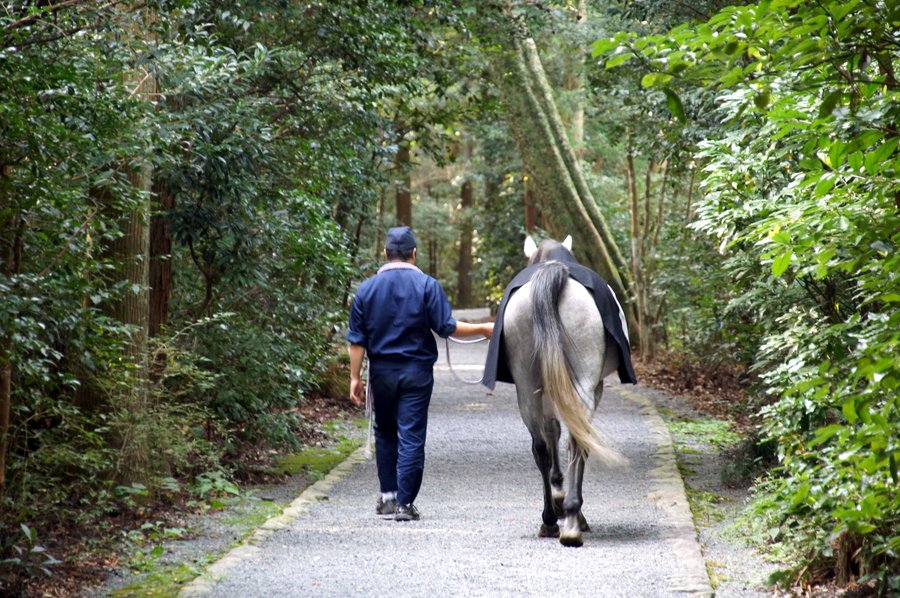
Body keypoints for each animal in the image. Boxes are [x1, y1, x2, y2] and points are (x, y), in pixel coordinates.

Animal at [502, 236, 625, 547]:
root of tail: (553, 272)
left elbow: (551, 432)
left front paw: (557, 494)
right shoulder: (595, 387)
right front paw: (569, 504)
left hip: (526, 385)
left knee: (541, 447)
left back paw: (549, 519)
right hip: (583, 382)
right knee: (577, 441)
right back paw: (571, 518)